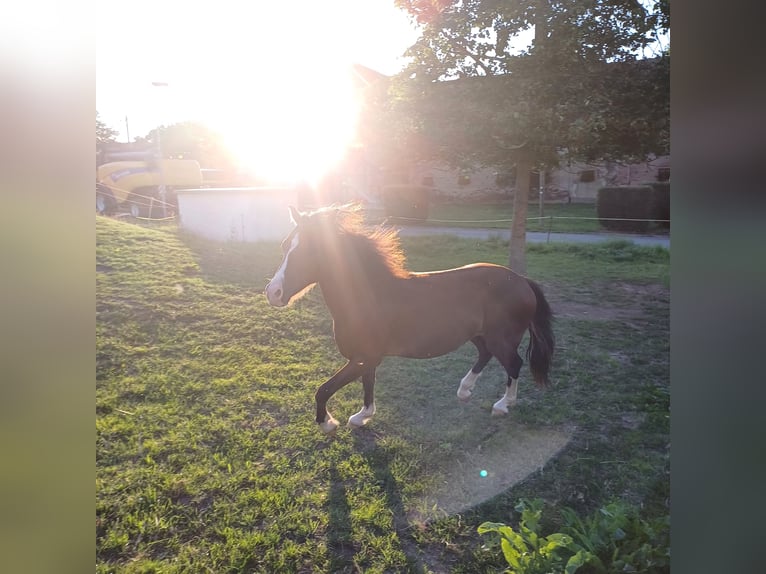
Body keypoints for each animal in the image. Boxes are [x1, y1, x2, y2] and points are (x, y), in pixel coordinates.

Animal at [268, 205, 556, 434]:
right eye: (284, 245)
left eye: (311, 250)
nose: (273, 293)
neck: (368, 296)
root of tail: (523, 281)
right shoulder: (365, 359)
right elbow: (368, 386)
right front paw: (362, 417)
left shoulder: (366, 357)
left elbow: (324, 389)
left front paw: (328, 423)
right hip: (479, 335)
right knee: (485, 355)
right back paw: (464, 391)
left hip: (502, 339)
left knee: (514, 364)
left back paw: (502, 405)